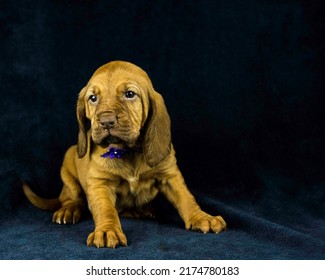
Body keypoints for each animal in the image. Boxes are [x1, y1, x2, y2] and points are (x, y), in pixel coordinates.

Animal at [22, 60, 225, 247]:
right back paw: (69, 210)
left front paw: (201, 217)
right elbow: (106, 209)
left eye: (129, 94)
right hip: (69, 163)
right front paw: (107, 230)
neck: (127, 151)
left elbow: (186, 198)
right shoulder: (99, 183)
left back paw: (140, 210)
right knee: (71, 198)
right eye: (93, 98)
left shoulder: (170, 175)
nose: (106, 121)